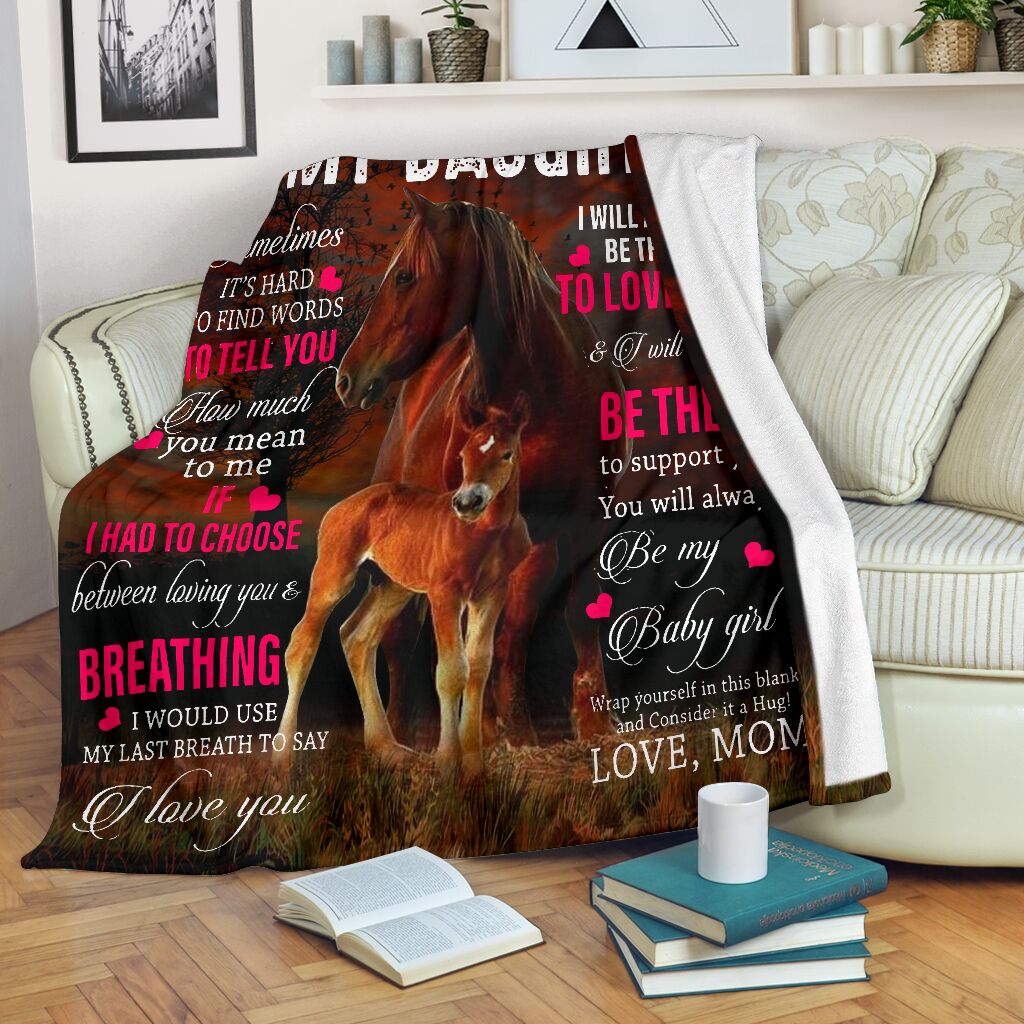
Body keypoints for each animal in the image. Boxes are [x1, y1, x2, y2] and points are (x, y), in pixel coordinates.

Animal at [278, 393, 532, 777]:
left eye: (506, 454)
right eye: (463, 456)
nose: (466, 502)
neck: (486, 534)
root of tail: (342, 506)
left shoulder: (492, 593)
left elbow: (478, 667)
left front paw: (474, 767)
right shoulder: (445, 593)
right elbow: (451, 671)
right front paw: (447, 764)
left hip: (392, 586)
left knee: (356, 637)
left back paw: (387, 748)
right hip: (335, 572)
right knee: (302, 644)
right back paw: (281, 760)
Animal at [335, 188, 627, 745]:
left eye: (404, 276)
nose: (345, 378)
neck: (544, 387)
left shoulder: (582, 519)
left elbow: (564, 613)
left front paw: (591, 721)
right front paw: (502, 726)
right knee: (396, 639)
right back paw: (399, 733)